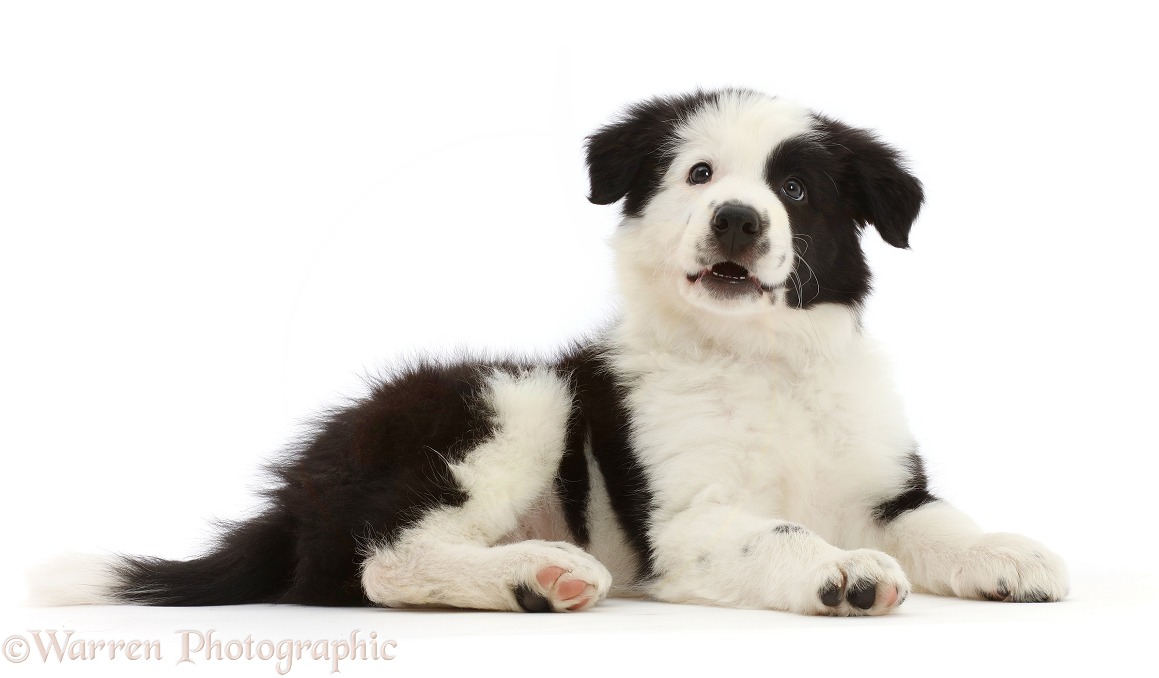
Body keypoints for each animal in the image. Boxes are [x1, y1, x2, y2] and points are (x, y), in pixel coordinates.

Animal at [33, 88, 1066, 611]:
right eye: (699, 174)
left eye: (798, 191)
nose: (736, 220)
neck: (757, 359)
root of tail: (299, 492)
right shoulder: (681, 521)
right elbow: (776, 531)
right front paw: (840, 572)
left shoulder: (884, 487)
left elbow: (942, 523)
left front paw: (1008, 554)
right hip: (512, 401)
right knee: (376, 563)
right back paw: (535, 576)